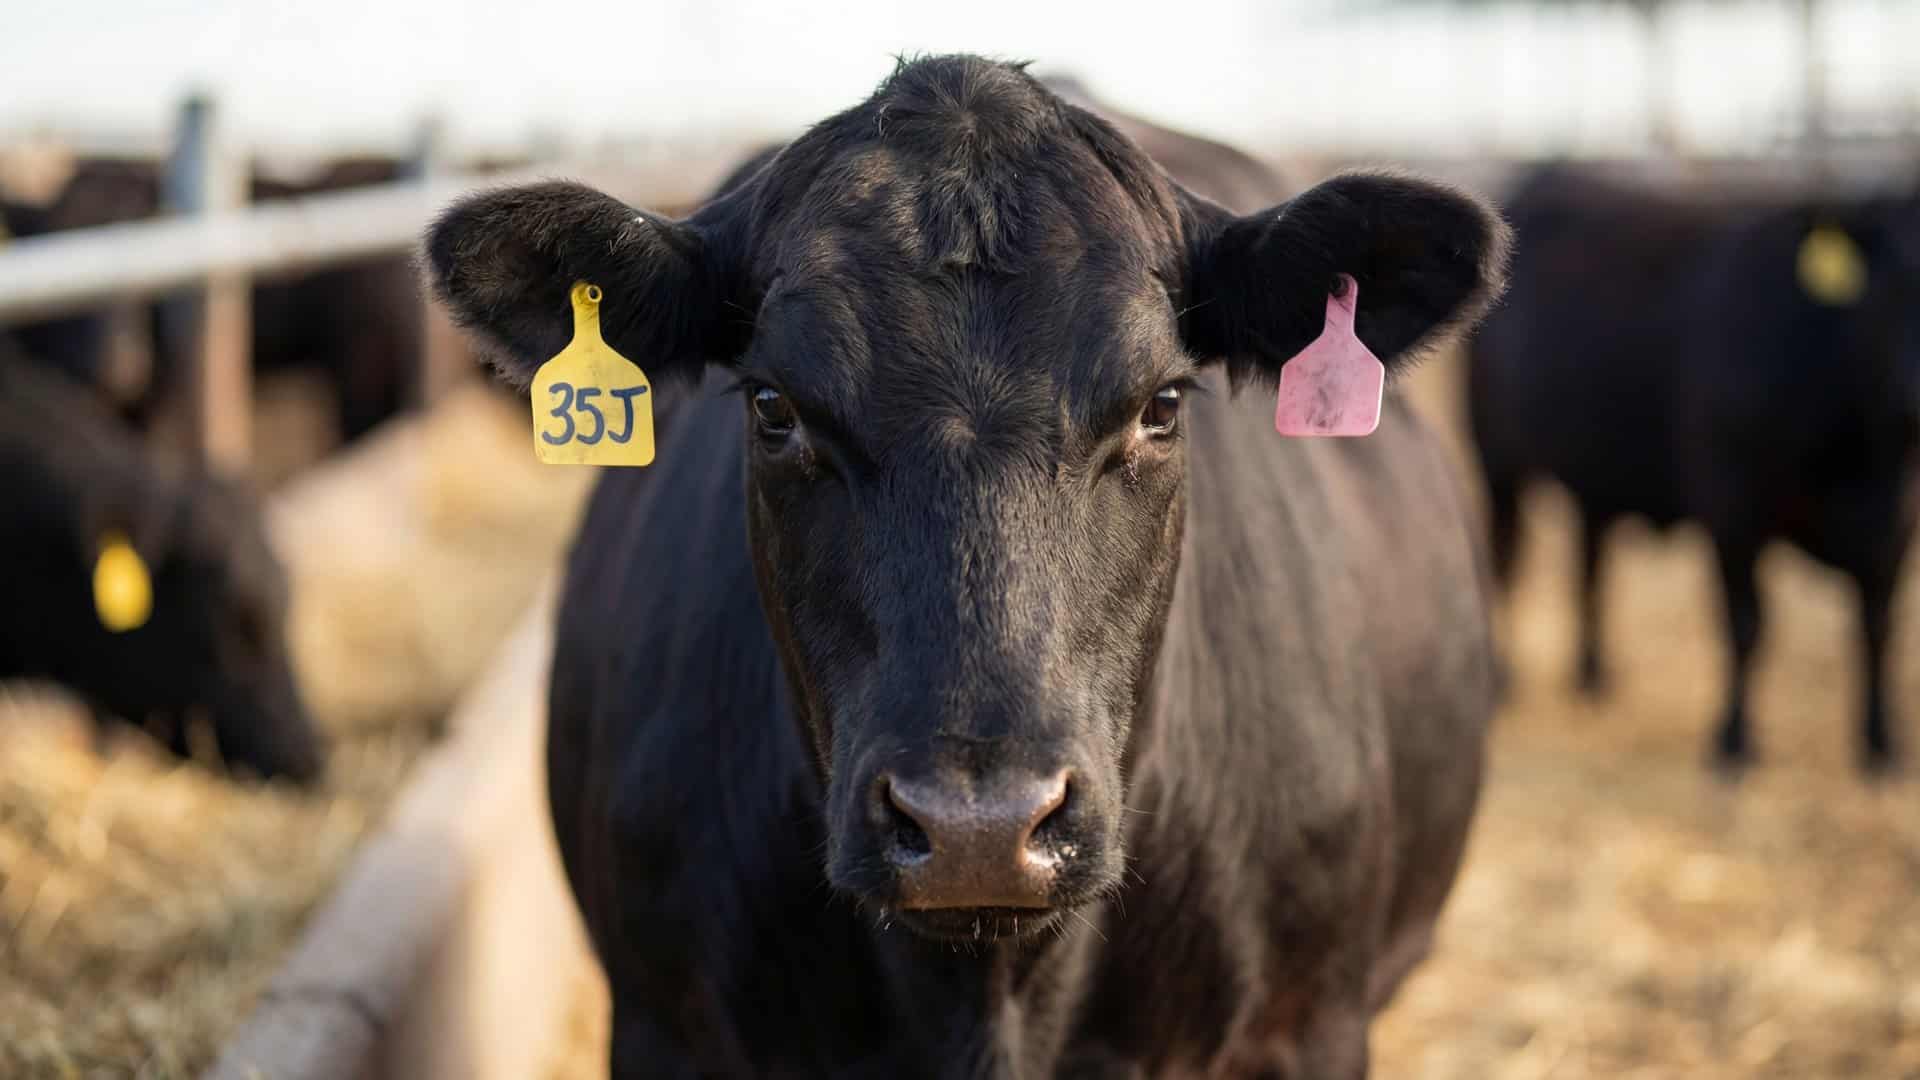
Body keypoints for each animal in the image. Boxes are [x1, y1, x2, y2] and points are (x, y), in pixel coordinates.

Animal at [1467, 163, 1920, 773]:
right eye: (1896, 281)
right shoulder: (1732, 508)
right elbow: (1746, 623)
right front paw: (1733, 740)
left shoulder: (1894, 527)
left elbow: (1877, 627)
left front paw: (1880, 742)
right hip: (1498, 462)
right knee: (1507, 557)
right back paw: (1503, 679)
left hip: (1595, 473)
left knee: (1591, 560)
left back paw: (1593, 674)